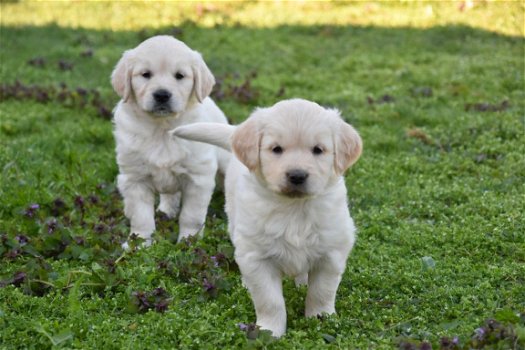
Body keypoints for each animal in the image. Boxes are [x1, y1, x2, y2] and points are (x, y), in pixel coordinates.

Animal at [111, 35, 228, 247]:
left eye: (179, 76)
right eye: (146, 74)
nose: (162, 95)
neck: (162, 129)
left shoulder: (198, 178)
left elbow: (191, 216)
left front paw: (188, 242)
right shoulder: (134, 179)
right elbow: (141, 216)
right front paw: (138, 243)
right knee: (169, 194)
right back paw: (165, 211)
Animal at [172, 98, 360, 336]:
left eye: (318, 150)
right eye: (276, 149)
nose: (297, 175)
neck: (294, 208)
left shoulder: (331, 252)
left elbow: (322, 291)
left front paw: (320, 319)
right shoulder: (257, 257)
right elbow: (269, 300)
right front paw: (269, 331)